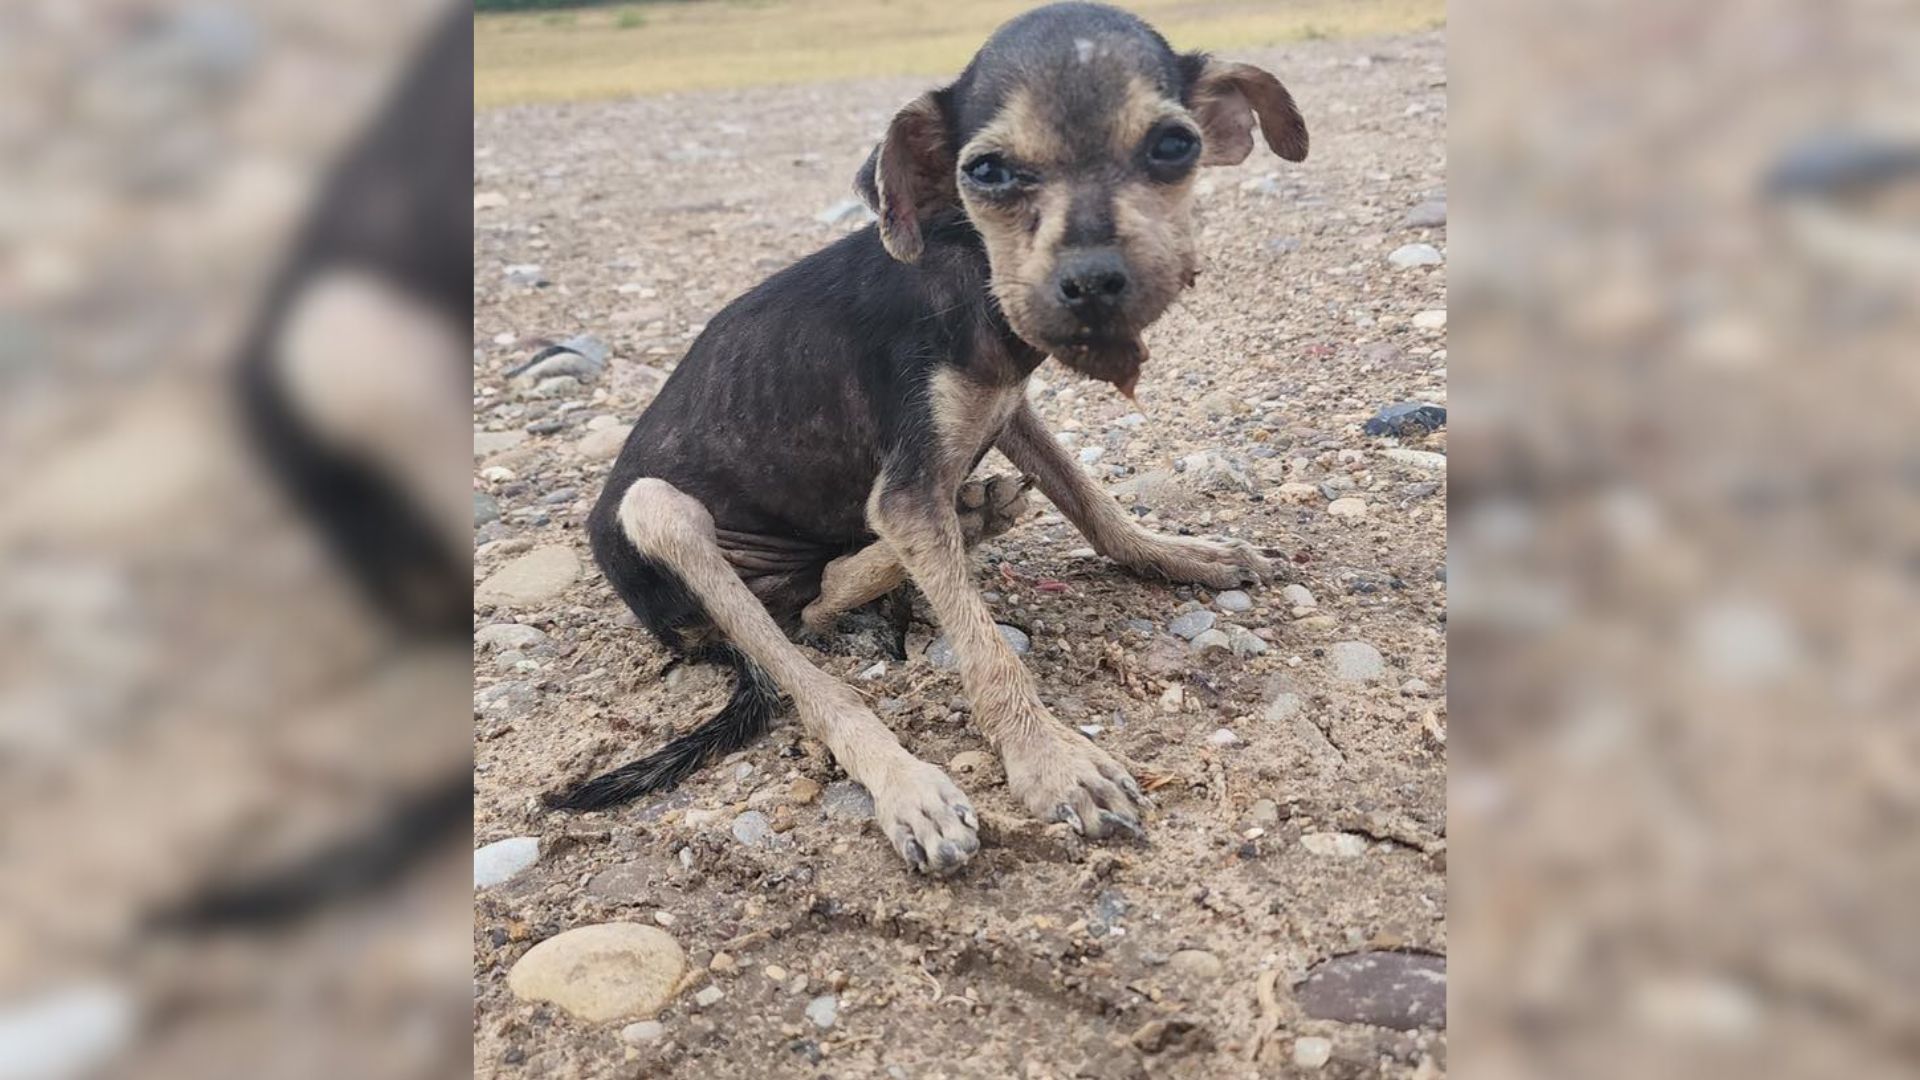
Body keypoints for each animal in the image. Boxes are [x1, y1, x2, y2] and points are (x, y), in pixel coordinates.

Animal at [549, 2, 1313, 876]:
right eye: (986, 171)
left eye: (1174, 146)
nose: (1092, 284)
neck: (971, 270)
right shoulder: (907, 487)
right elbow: (986, 650)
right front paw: (1050, 762)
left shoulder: (1005, 409)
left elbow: (1094, 505)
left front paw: (1180, 554)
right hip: (659, 510)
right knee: (808, 663)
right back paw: (908, 781)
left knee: (816, 599)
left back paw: (963, 523)